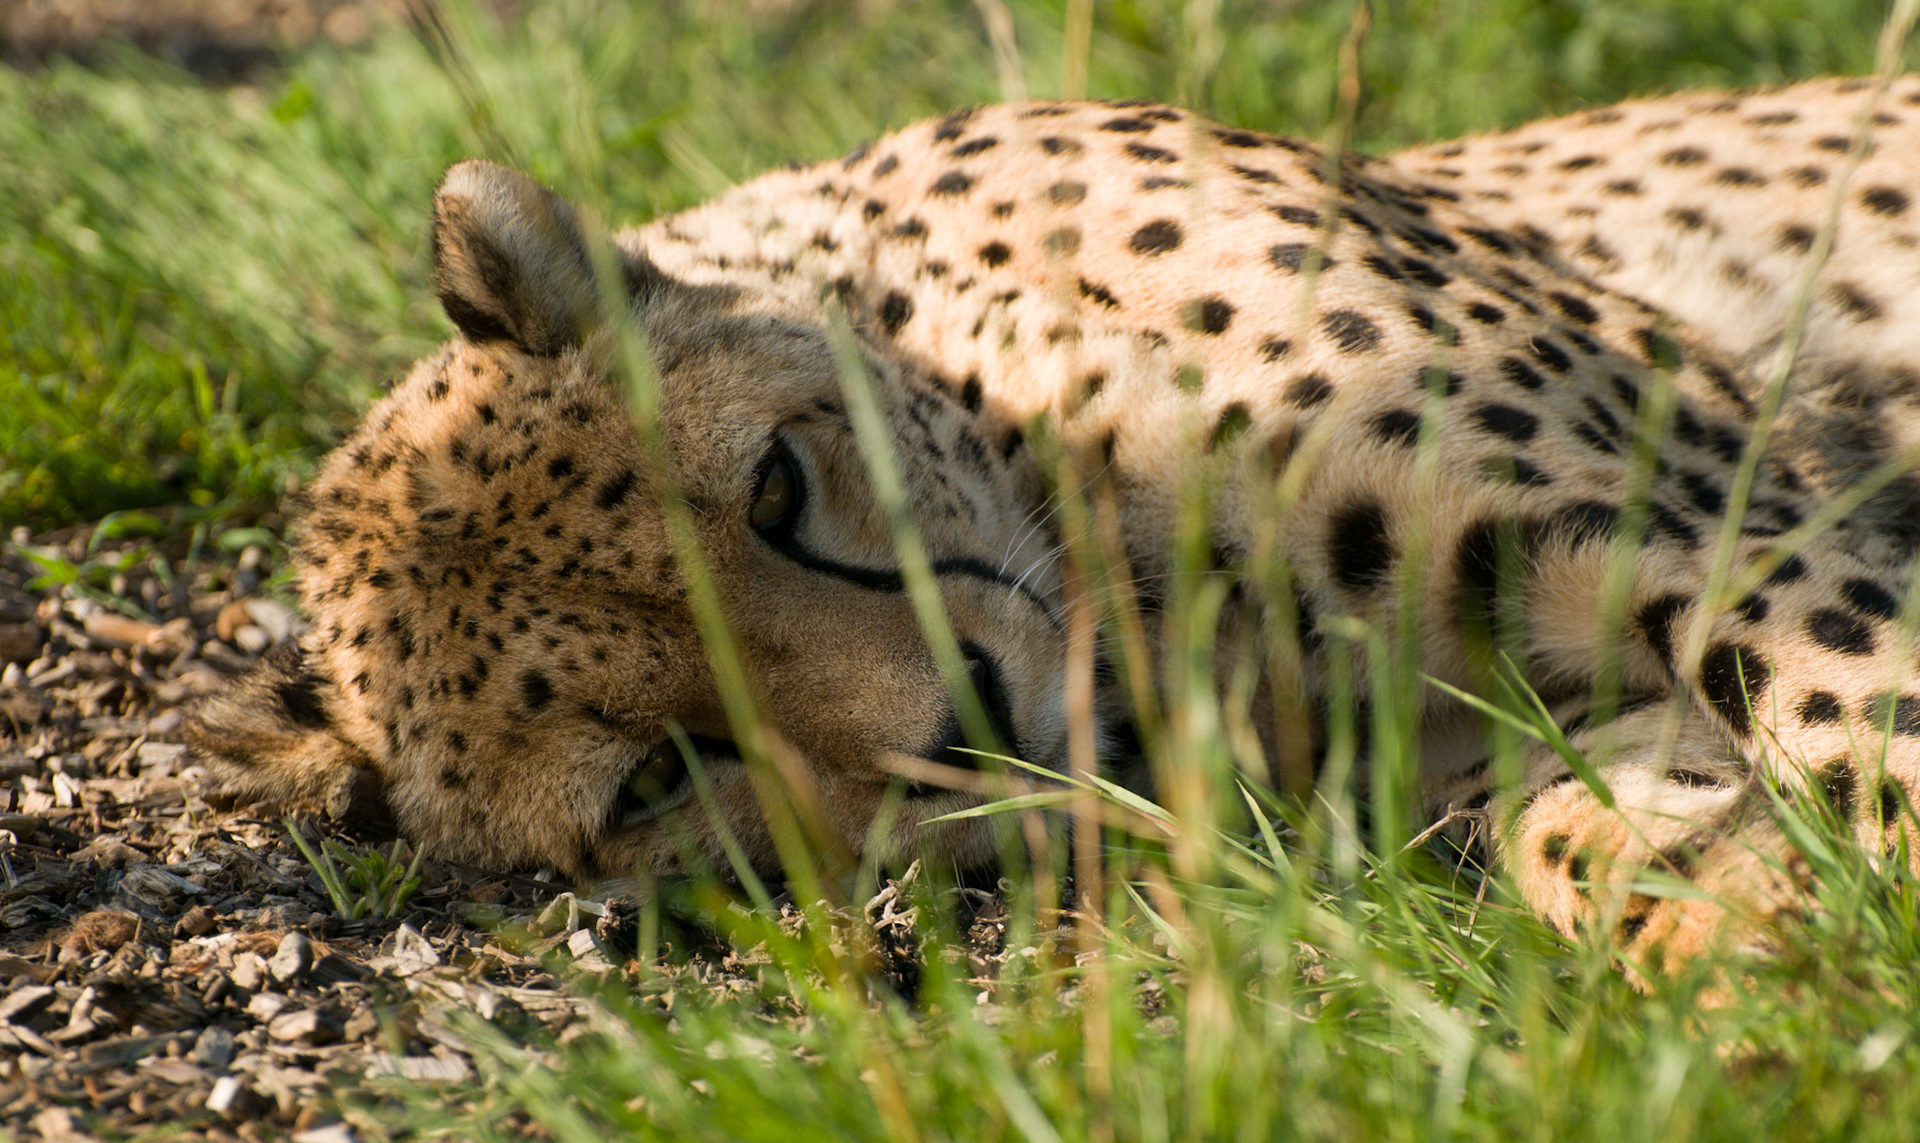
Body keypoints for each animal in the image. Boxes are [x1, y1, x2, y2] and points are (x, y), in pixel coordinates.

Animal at [187, 77, 1920, 975]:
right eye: (662, 773)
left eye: (775, 484)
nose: (965, 717)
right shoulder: (1508, 721)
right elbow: (1604, 822)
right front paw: (1764, 959)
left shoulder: (1737, 517)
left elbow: (1860, 723)